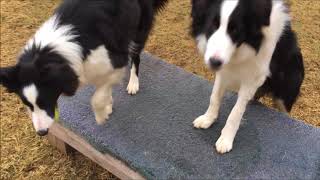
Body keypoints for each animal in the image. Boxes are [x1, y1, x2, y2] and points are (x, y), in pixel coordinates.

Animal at [0, 0, 168, 135]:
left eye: (45, 101)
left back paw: (133, 83)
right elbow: (104, 86)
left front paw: (101, 115)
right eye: (27, 105)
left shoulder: (116, 59)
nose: (41, 132)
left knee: (135, 57)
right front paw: (108, 103)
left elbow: (97, 98)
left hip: (137, 31)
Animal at [191, 0, 304, 154]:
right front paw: (208, 119)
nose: (214, 62)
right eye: (212, 25)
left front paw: (226, 139)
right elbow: (214, 96)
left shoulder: (252, 79)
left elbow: (236, 112)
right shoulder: (224, 72)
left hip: (285, 93)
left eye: (235, 30)